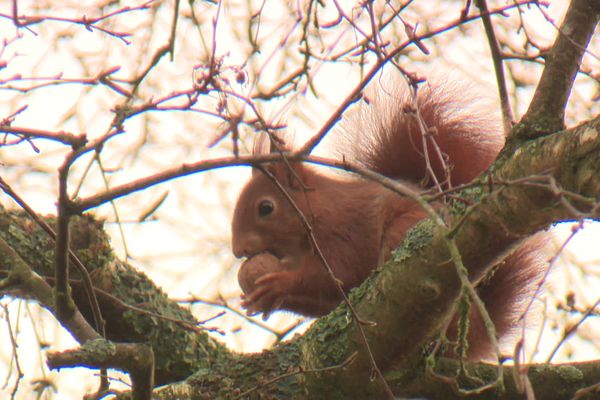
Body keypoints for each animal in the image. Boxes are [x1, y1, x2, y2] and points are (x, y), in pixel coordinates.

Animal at [230, 75, 548, 360]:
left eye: (265, 208)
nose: (238, 250)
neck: (316, 212)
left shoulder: (342, 232)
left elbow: (337, 275)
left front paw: (278, 284)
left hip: (404, 231)